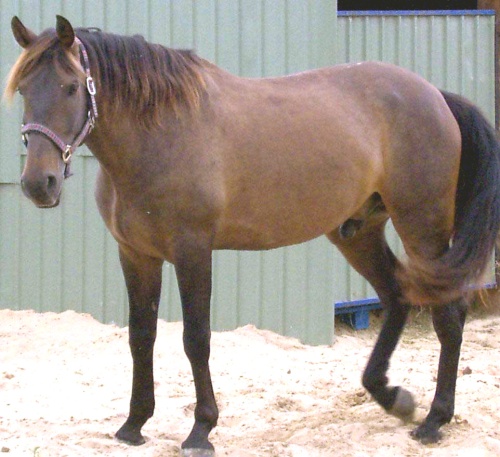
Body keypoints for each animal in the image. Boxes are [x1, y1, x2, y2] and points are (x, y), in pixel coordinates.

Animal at [6, 15, 500, 456]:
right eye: (25, 89)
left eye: (72, 87)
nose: (38, 184)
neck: (160, 132)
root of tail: (435, 95)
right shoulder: (135, 254)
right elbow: (140, 336)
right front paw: (134, 424)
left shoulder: (192, 251)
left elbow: (196, 338)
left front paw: (201, 430)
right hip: (356, 232)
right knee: (396, 296)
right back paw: (391, 396)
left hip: (423, 227)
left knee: (448, 314)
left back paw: (435, 419)